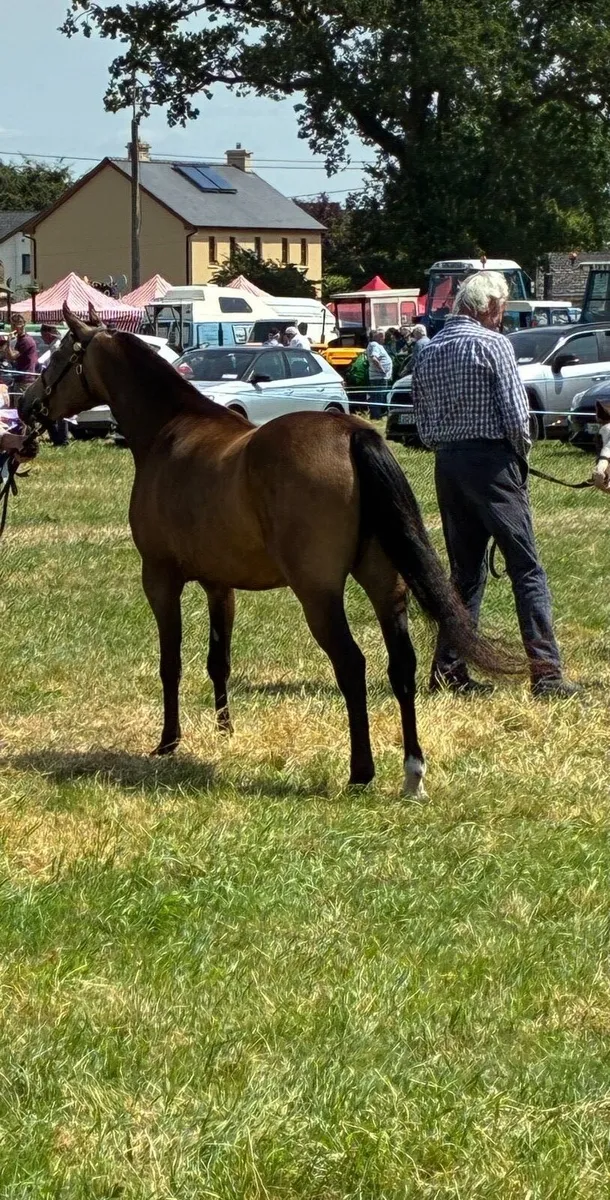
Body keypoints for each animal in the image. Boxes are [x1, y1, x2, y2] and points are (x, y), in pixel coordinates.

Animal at [19, 304, 514, 797]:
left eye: (58, 354)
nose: (26, 405)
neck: (171, 431)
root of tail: (350, 433)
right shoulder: (220, 586)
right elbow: (218, 660)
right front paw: (225, 730)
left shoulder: (160, 578)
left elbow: (171, 662)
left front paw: (169, 741)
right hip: (385, 584)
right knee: (401, 665)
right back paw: (413, 772)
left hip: (318, 594)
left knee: (351, 665)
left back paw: (361, 771)